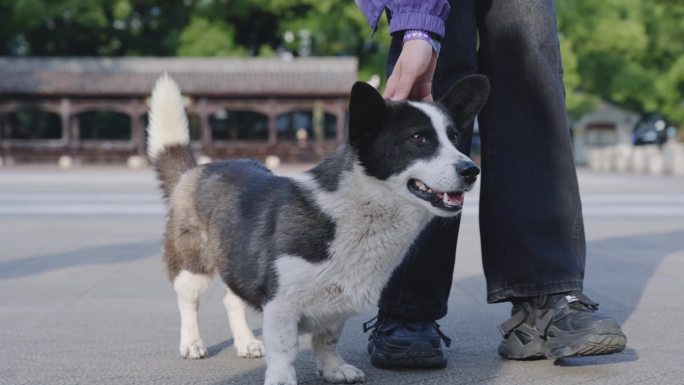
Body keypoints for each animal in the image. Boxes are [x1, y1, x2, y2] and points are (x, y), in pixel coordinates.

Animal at [147, 74, 488, 384]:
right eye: (418, 138)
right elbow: (284, 351)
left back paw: (245, 342)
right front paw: (282, 380)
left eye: (454, 137)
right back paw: (192, 343)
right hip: (194, 268)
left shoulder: (336, 305)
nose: (472, 171)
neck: (364, 210)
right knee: (188, 302)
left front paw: (333, 369)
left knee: (231, 300)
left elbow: (327, 340)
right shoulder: (281, 304)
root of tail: (194, 172)